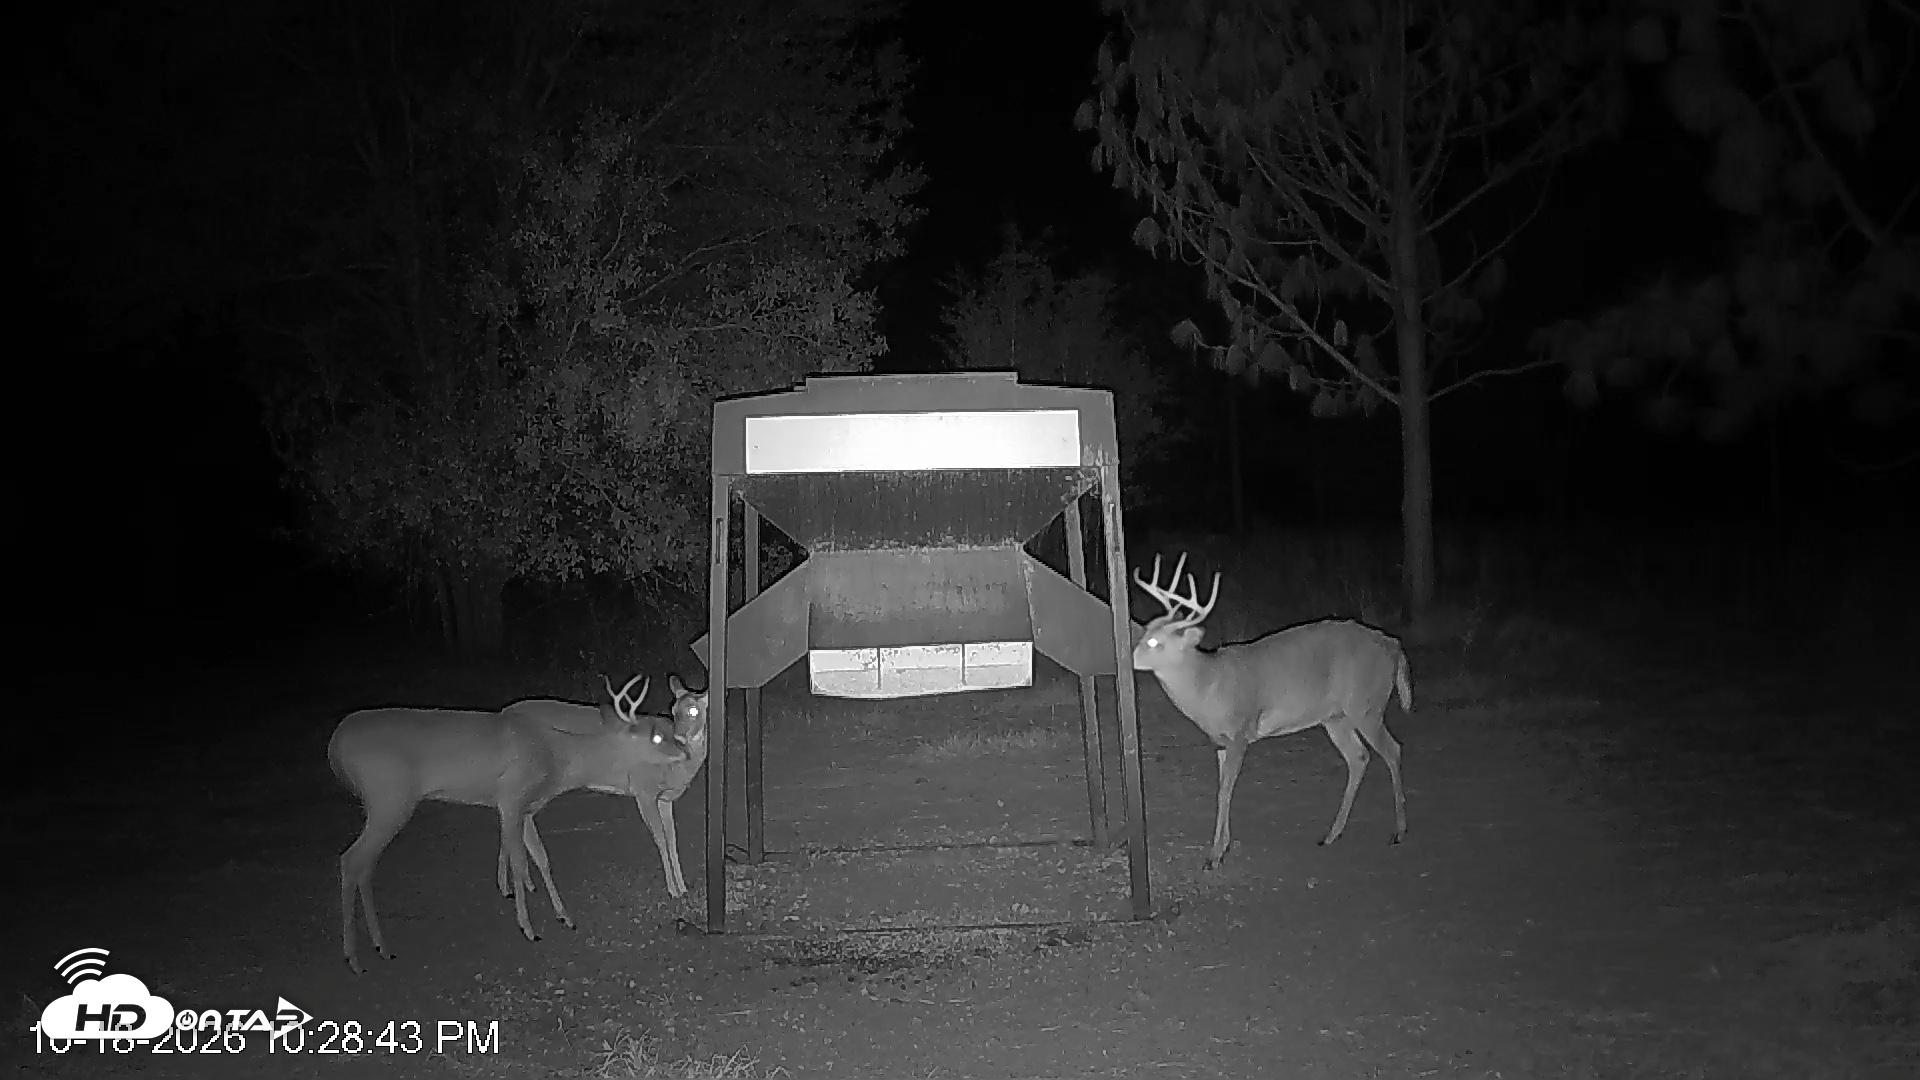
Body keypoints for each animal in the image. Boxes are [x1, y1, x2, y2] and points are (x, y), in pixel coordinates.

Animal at [327, 673, 689, 974]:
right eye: (657, 738)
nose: (684, 752)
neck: (557, 758)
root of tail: (335, 746)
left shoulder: (527, 807)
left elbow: (541, 857)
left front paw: (565, 917)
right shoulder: (511, 797)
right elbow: (518, 864)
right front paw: (529, 929)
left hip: (382, 804)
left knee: (362, 864)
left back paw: (378, 947)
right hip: (389, 797)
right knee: (351, 859)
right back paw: (357, 957)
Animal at [501, 673, 711, 898]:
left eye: (694, 710)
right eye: (673, 709)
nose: (680, 738)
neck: (676, 770)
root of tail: (503, 713)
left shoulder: (664, 798)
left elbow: (672, 839)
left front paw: (683, 886)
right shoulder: (643, 789)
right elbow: (661, 838)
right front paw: (673, 890)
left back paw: (518, 886)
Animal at [1131, 553, 1411, 872]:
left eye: (1157, 642)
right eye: (1146, 633)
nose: (1130, 657)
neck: (1208, 685)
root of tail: (1394, 645)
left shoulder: (1240, 731)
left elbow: (1225, 790)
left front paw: (1213, 856)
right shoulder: (1220, 742)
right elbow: (1221, 788)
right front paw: (1222, 847)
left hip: (1367, 705)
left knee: (1393, 750)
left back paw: (1398, 831)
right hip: (1336, 717)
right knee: (1359, 757)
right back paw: (1331, 835)